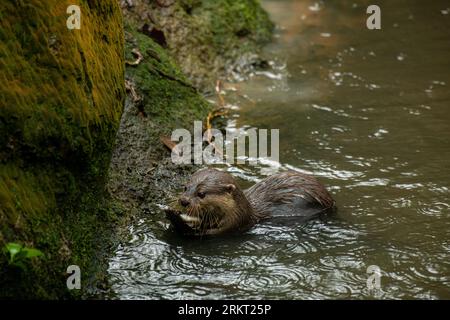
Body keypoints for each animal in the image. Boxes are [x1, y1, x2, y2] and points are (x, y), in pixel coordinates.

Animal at [165, 169, 334, 236]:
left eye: (201, 194)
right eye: (185, 187)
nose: (184, 201)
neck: (240, 209)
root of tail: (329, 198)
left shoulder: (236, 222)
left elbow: (208, 233)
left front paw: (177, 219)